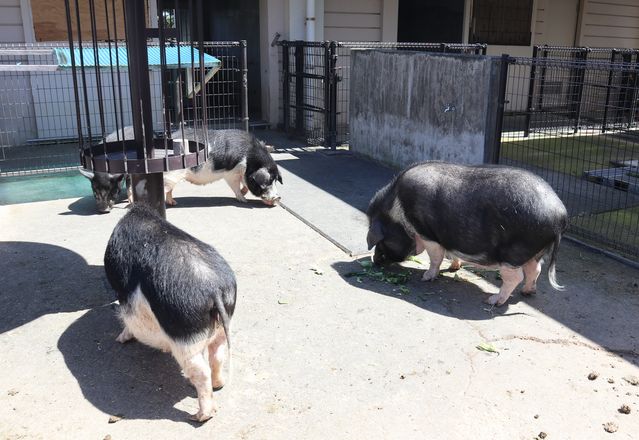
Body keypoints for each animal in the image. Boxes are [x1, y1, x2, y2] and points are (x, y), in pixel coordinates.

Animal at [104, 204, 236, 422]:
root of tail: (214, 289)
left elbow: (126, 321)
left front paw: (120, 339)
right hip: (220, 330)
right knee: (217, 356)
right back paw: (219, 385)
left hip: (185, 339)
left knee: (200, 372)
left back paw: (199, 416)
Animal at [364, 162, 568, 306]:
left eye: (382, 241)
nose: (375, 260)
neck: (396, 211)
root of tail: (559, 214)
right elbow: (450, 253)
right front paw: (454, 267)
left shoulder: (427, 234)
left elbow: (435, 257)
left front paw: (426, 277)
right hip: (535, 251)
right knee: (535, 269)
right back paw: (527, 292)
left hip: (513, 253)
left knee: (516, 276)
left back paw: (493, 301)